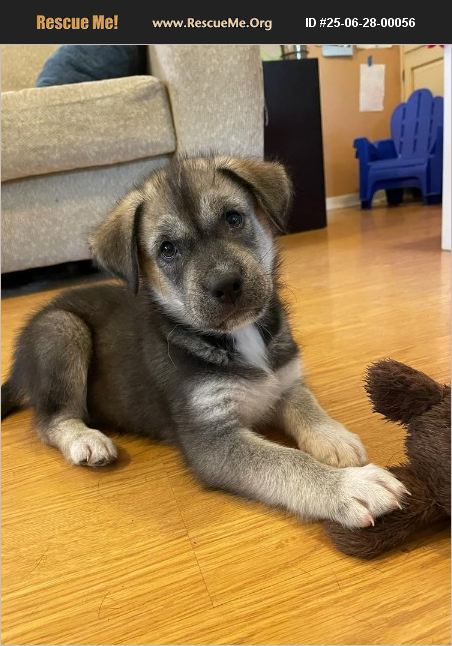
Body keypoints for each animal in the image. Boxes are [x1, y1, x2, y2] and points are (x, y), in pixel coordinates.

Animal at [1, 155, 408, 528]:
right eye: (167, 249)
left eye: (233, 218)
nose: (226, 285)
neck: (238, 337)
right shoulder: (211, 439)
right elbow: (287, 462)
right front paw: (349, 487)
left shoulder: (284, 379)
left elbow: (306, 403)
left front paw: (334, 438)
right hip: (61, 329)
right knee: (51, 418)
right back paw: (84, 439)